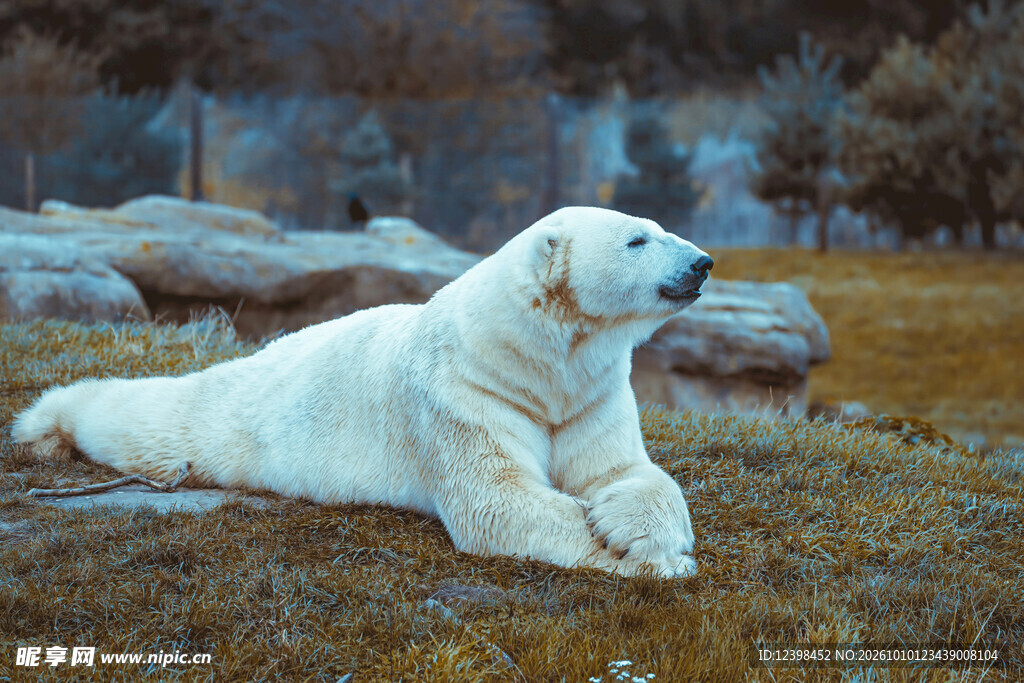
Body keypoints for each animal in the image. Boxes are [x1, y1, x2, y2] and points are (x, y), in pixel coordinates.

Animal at [14, 206, 714, 578]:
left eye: (656, 227)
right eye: (637, 239)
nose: (702, 262)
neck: (527, 358)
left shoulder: (591, 394)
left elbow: (625, 471)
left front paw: (636, 528)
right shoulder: (460, 395)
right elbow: (498, 499)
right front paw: (655, 562)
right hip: (234, 415)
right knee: (155, 419)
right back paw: (47, 425)